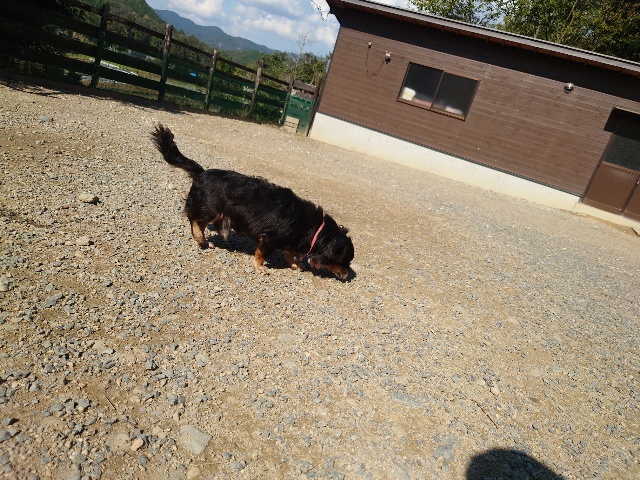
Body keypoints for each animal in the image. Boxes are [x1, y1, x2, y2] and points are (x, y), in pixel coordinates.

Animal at [151, 124, 354, 280]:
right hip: (212, 209)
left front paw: (296, 265)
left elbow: (290, 255)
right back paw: (201, 239)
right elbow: (261, 254)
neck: (313, 228)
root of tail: (201, 172)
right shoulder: (269, 239)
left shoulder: (287, 241)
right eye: (344, 261)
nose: (347, 277)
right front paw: (259, 267)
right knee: (194, 220)